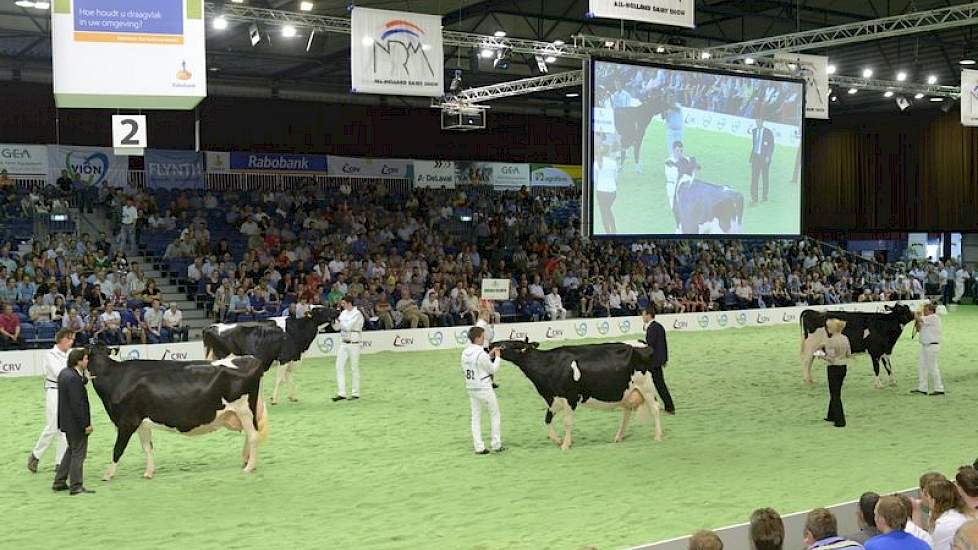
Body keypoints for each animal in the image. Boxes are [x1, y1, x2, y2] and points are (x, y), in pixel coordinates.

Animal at [86, 348, 266, 480]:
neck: (114, 377)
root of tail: (249, 359)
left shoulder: (127, 421)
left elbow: (117, 449)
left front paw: (108, 474)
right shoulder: (142, 422)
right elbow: (147, 447)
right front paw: (149, 472)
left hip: (244, 410)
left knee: (253, 436)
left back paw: (249, 467)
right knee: (249, 435)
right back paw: (246, 460)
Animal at [202, 306, 336, 406]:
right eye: (320, 309)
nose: (337, 310)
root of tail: (212, 326)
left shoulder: (290, 359)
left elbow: (289, 378)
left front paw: (292, 397)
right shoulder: (284, 358)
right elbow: (280, 379)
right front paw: (274, 400)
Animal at [492, 340, 660, 452]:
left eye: (504, 345)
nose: (491, 344)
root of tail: (642, 343)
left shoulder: (570, 397)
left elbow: (567, 422)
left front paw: (566, 445)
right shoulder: (554, 399)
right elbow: (547, 419)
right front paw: (558, 440)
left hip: (647, 387)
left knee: (655, 409)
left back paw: (658, 437)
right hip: (626, 392)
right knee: (627, 413)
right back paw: (618, 437)